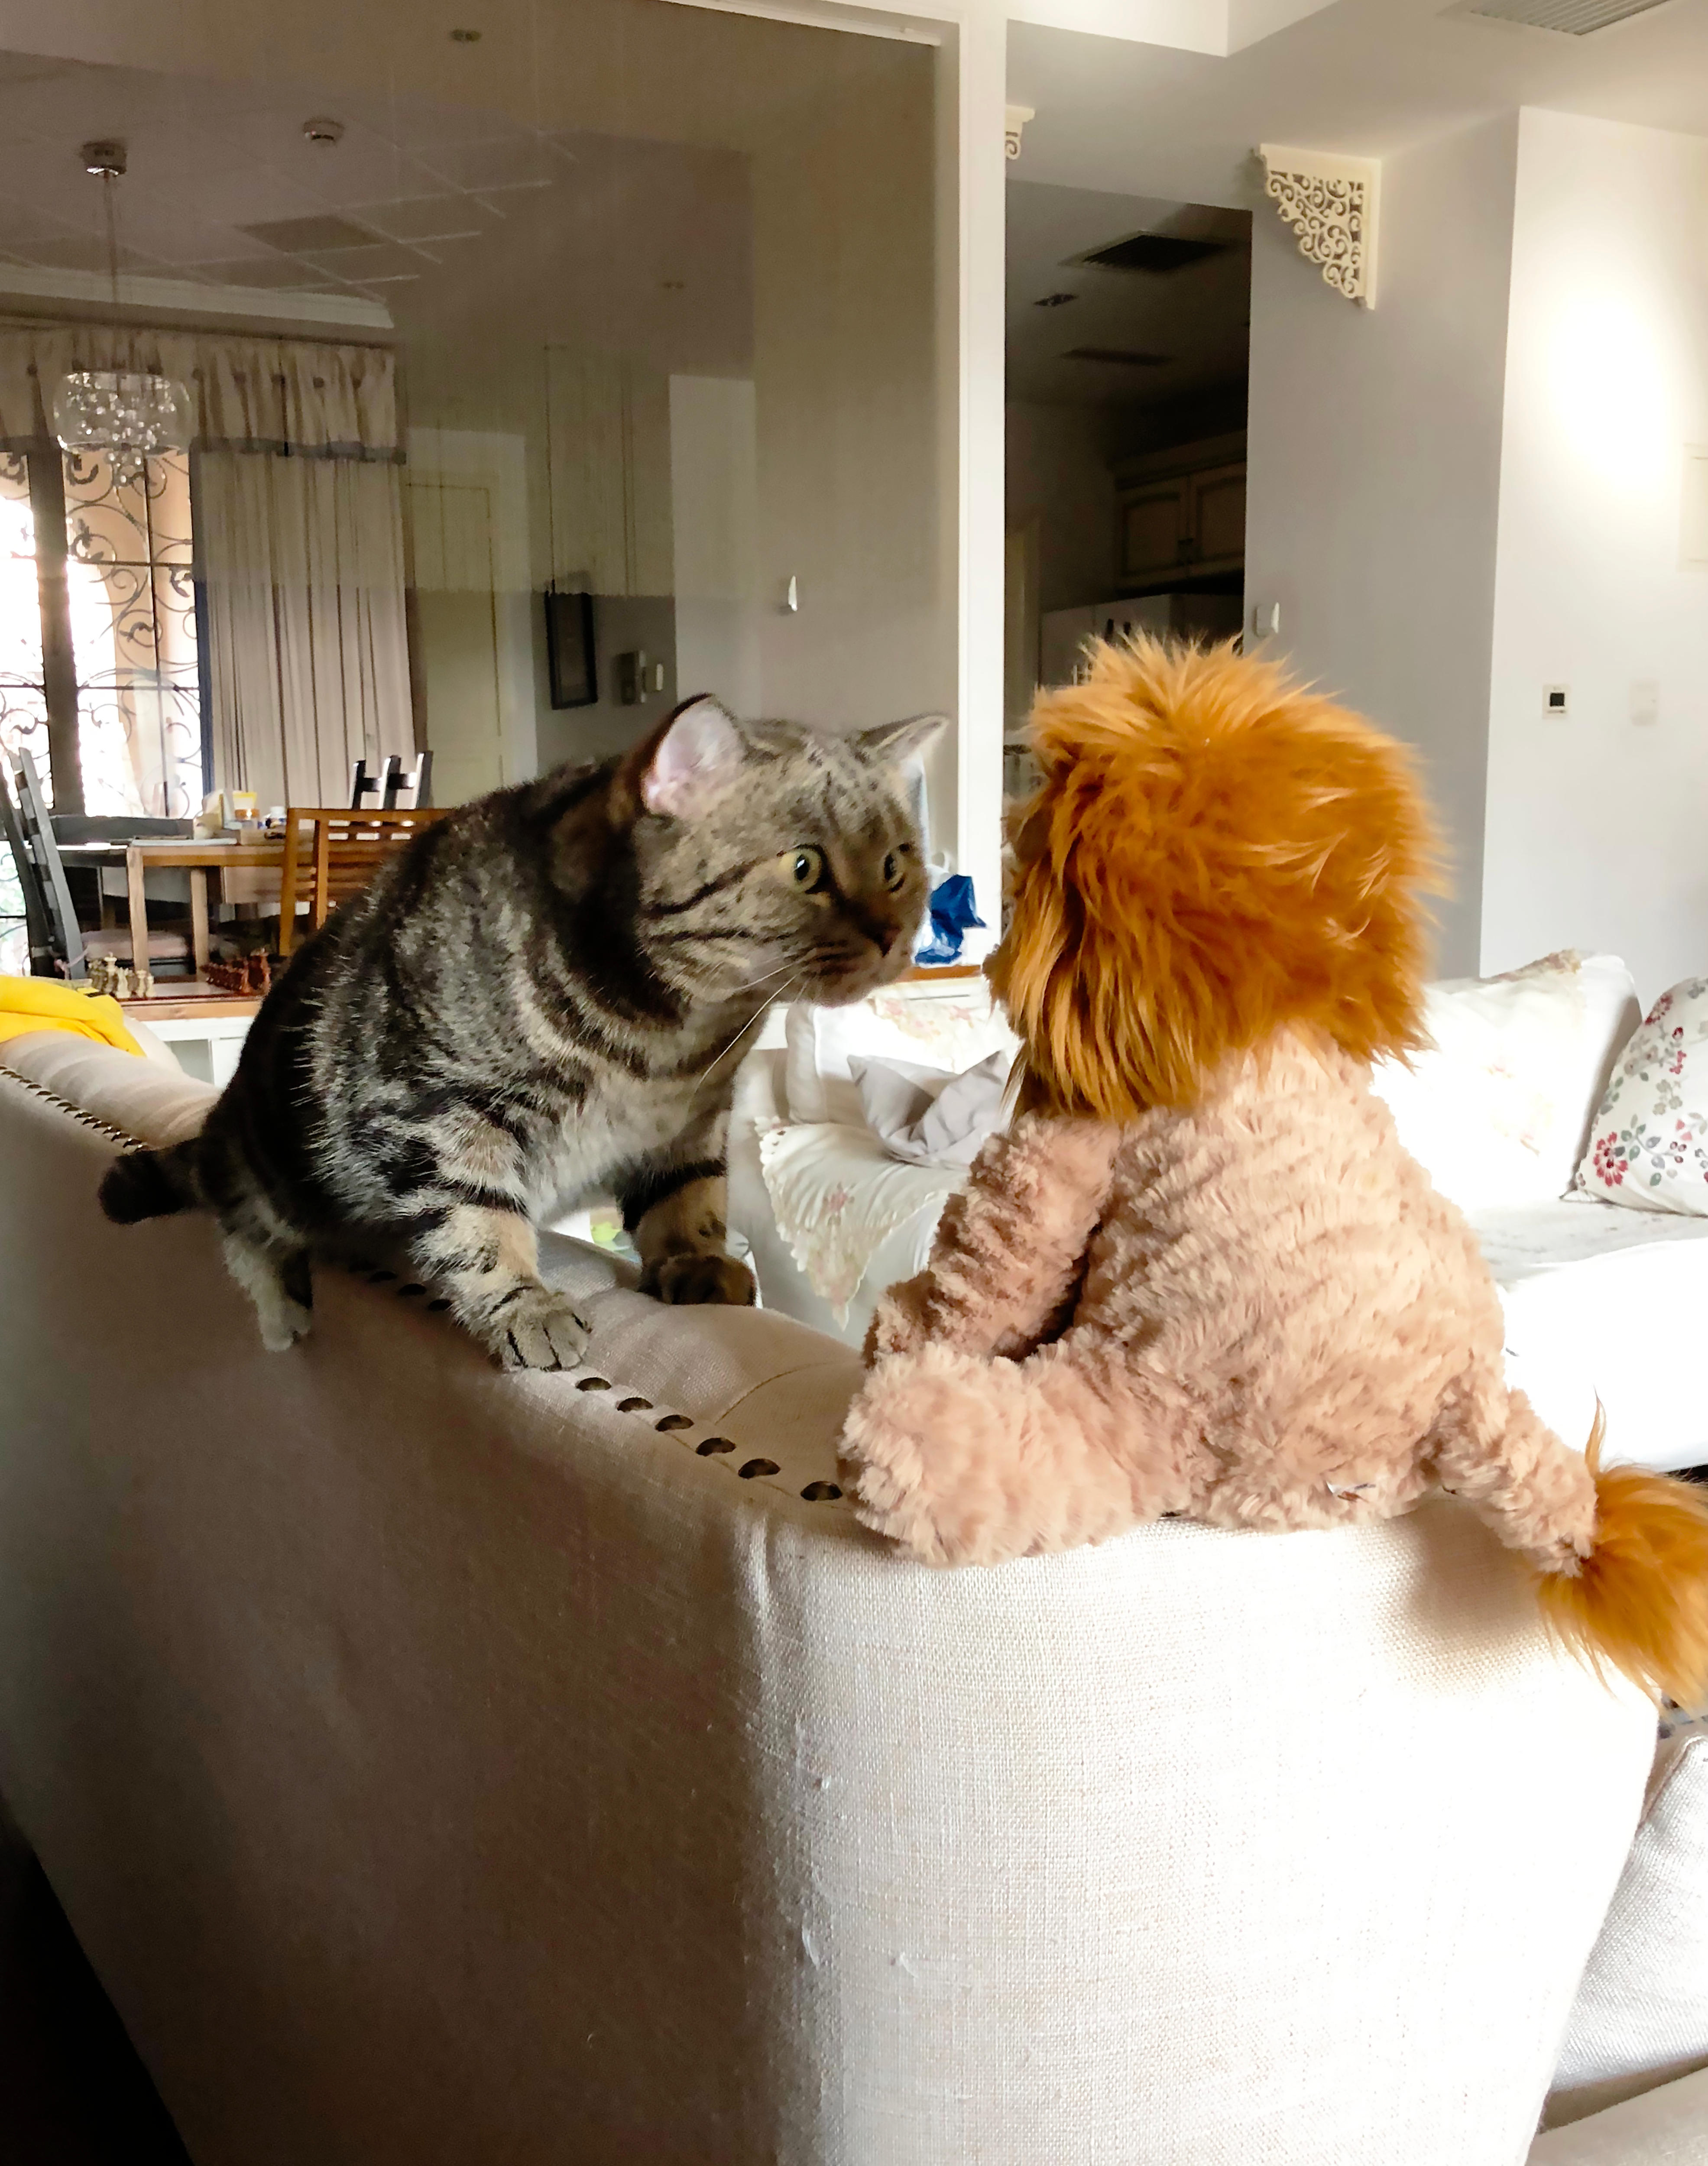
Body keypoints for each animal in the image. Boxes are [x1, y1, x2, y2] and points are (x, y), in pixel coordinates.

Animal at [98, 697, 939, 1369]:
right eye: (804, 869)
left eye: (896, 865)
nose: (894, 935)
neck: (672, 1039)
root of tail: (225, 1114)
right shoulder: (437, 1112)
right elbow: (478, 1223)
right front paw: (525, 1305)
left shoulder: (695, 1118)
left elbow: (692, 1197)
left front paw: (695, 1262)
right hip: (268, 1161)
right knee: (242, 1222)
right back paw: (281, 1304)